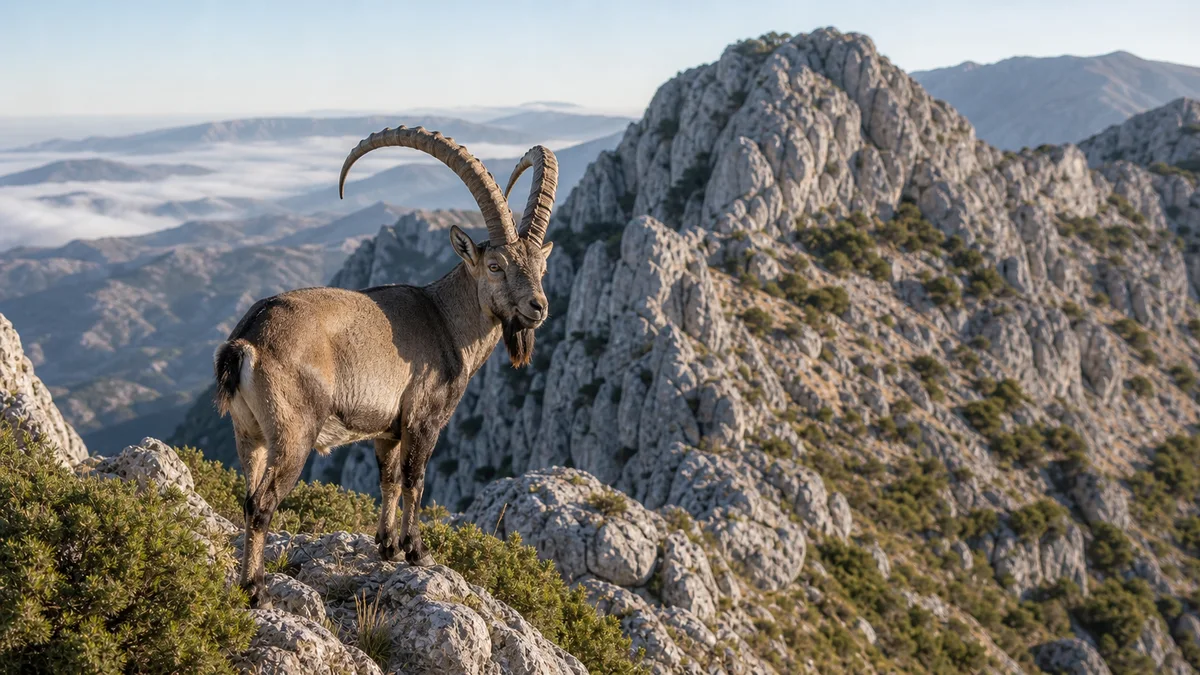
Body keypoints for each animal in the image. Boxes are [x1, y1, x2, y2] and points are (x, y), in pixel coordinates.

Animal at [213, 126, 557, 606]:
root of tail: (247, 341)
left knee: (248, 498)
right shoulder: (423, 419)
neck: (444, 319)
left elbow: (389, 480)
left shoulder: (386, 430)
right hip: (294, 433)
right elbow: (415, 479)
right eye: (495, 265)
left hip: (249, 434)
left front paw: (388, 546)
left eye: (541, 266)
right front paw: (416, 551)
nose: (537, 307)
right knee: (263, 504)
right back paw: (256, 589)